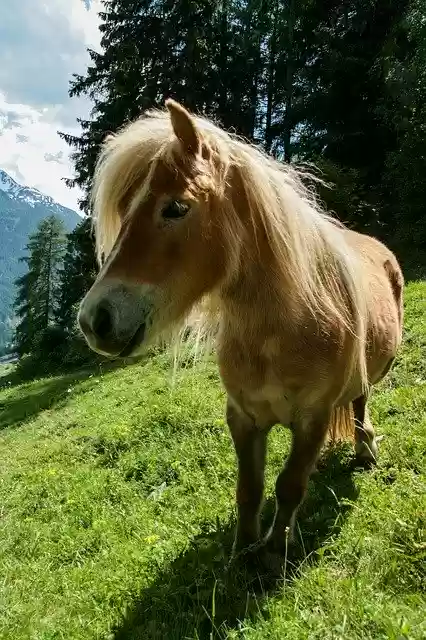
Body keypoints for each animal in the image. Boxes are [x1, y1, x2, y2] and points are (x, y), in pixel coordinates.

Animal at [78, 99, 404, 570]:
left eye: (176, 208)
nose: (94, 320)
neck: (282, 331)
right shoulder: (243, 418)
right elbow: (249, 490)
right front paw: (243, 550)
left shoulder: (313, 417)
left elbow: (289, 486)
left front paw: (275, 550)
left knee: (360, 405)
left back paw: (365, 450)